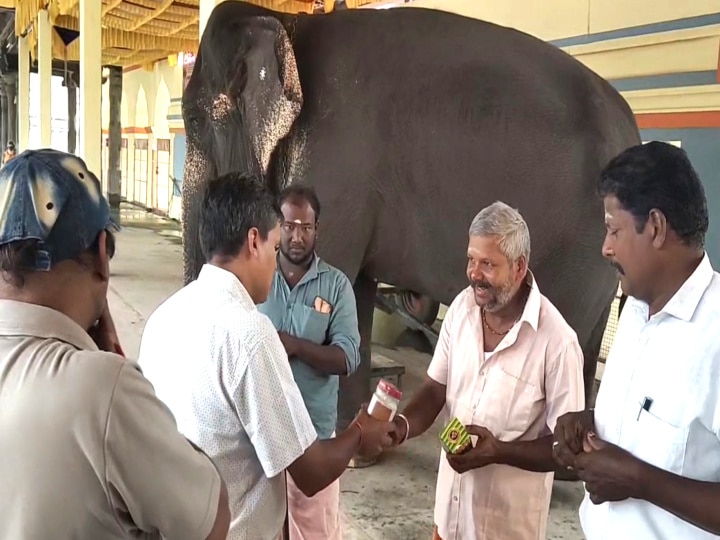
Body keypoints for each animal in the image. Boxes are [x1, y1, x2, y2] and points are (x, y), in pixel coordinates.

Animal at [181, 1, 640, 434]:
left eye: (196, 122)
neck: (287, 22)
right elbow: (355, 291)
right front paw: (355, 438)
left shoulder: (334, 165)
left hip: (576, 253)